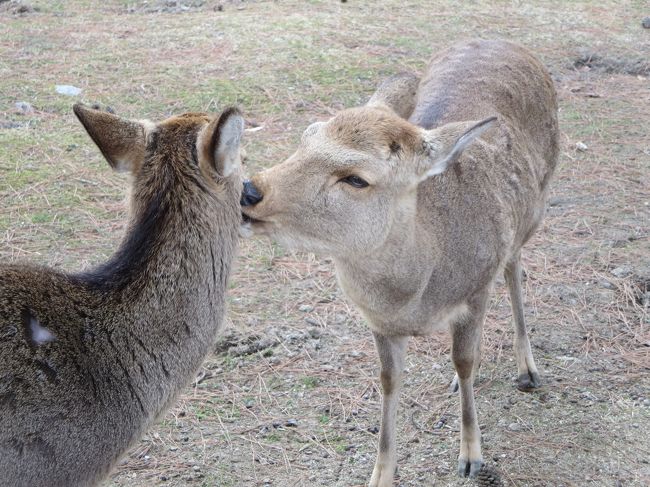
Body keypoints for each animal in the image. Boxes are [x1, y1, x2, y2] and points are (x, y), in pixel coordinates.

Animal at [238, 40, 556, 486]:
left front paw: (471, 456)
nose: (249, 191)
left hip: (533, 212)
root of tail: (503, 41)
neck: (417, 294)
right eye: (306, 135)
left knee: (514, 269)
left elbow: (464, 359)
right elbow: (390, 381)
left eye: (356, 178)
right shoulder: (380, 324)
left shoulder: (476, 288)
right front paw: (380, 473)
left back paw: (527, 368)